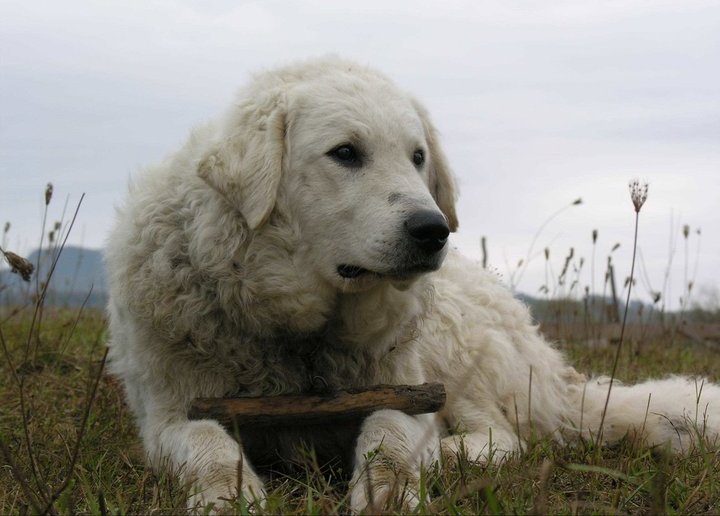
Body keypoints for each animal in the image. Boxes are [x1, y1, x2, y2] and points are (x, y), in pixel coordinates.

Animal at [107, 57, 720, 512]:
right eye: (345, 153)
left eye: (418, 156)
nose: (434, 230)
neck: (301, 337)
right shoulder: (168, 414)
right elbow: (207, 445)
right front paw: (227, 496)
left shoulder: (406, 393)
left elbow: (389, 439)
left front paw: (390, 491)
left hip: (457, 351)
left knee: (505, 438)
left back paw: (451, 455)